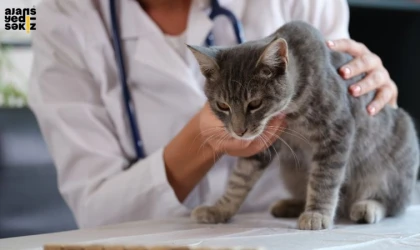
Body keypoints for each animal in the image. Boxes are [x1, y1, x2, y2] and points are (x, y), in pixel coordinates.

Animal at [188, 21, 420, 230]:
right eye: (222, 105)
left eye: (255, 104)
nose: (239, 131)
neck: (292, 111)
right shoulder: (263, 145)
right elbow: (239, 179)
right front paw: (220, 209)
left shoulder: (337, 130)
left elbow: (324, 179)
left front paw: (317, 214)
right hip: (291, 170)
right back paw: (289, 205)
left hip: (394, 161)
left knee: (394, 202)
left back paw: (367, 206)